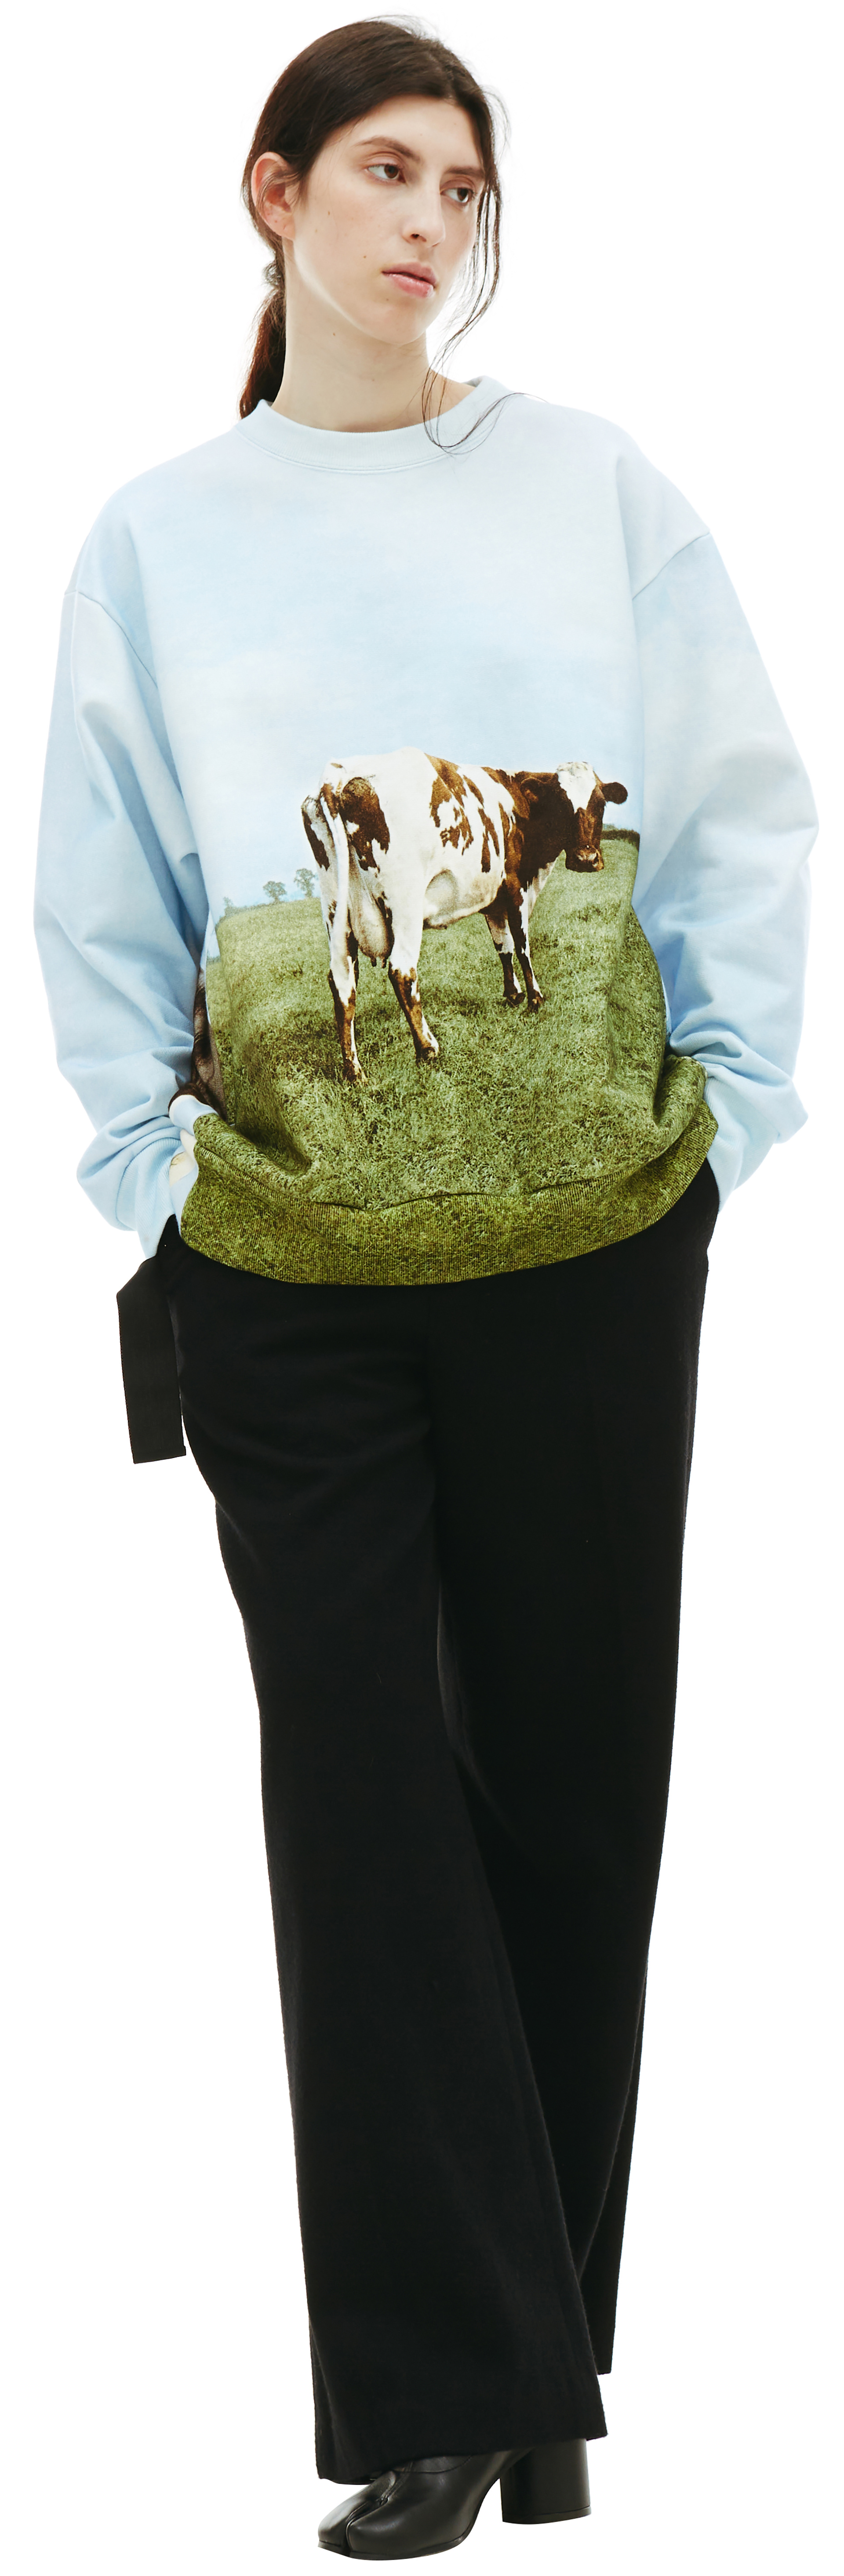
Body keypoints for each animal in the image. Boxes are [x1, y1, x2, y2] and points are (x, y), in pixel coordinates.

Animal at [300, 749, 627, 1083]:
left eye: (600, 803)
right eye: (562, 803)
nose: (586, 859)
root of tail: (338, 775)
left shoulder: (493, 898)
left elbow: (503, 947)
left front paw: (513, 995)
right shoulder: (516, 886)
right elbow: (522, 945)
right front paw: (535, 998)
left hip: (336, 912)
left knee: (342, 983)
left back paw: (354, 1071)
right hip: (405, 904)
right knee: (402, 972)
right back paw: (427, 1048)